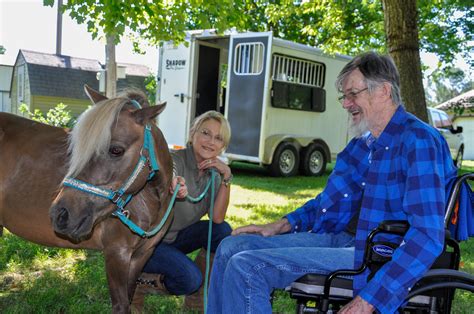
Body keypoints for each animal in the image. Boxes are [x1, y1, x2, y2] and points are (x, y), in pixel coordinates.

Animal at [0, 85, 174, 312]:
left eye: (116, 150)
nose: (60, 214)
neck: (151, 200)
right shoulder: (116, 253)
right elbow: (121, 304)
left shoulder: (142, 255)